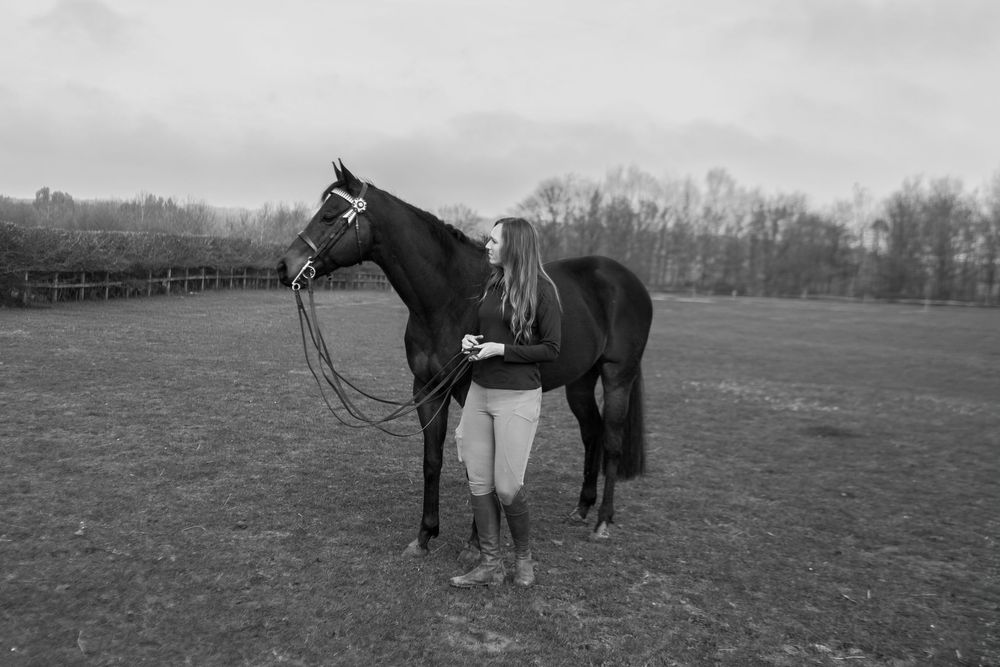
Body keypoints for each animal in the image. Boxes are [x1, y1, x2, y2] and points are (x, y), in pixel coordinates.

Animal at [276, 161, 653, 558]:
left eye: (329, 215)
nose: (284, 267)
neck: (451, 298)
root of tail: (627, 279)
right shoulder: (426, 390)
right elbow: (432, 460)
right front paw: (425, 535)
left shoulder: (474, 392)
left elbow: (480, 462)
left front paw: (476, 542)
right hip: (580, 380)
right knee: (592, 432)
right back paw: (582, 508)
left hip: (617, 375)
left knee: (611, 441)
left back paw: (603, 521)